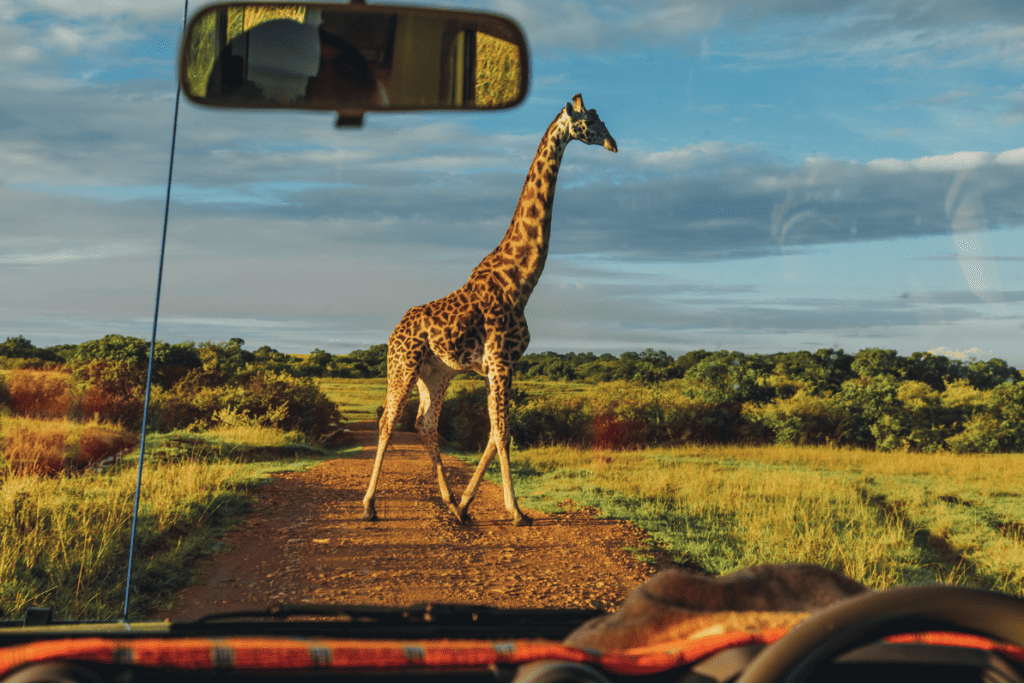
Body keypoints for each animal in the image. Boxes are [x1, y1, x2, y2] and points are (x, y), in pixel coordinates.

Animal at [360, 93, 614, 528]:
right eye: (591, 123)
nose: (614, 144)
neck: (521, 281)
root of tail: (394, 331)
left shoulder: (502, 364)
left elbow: (496, 432)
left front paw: (466, 505)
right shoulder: (500, 360)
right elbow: (503, 431)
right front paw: (517, 512)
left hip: (436, 372)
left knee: (425, 424)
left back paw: (448, 502)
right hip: (403, 364)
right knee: (388, 421)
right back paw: (370, 506)